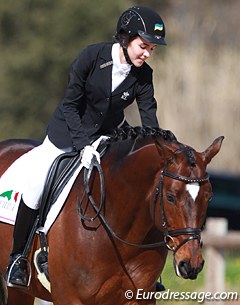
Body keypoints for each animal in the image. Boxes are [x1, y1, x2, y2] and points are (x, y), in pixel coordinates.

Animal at [0, 127, 223, 302]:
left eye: (209, 197)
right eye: (170, 197)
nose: (191, 265)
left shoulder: (139, 298)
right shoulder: (69, 297)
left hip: (23, 292)